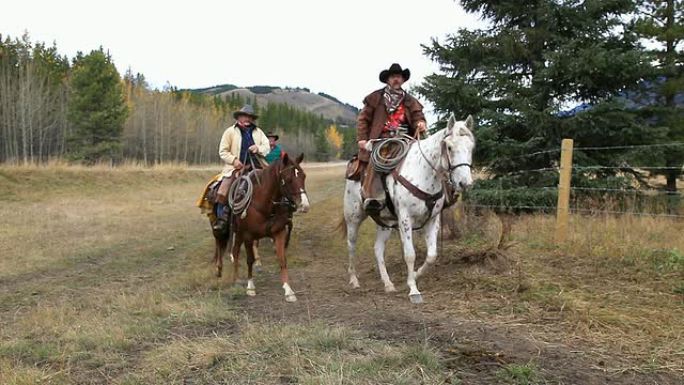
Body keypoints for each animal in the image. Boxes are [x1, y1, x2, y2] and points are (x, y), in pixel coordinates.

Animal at [214, 152, 310, 302]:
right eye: (288, 179)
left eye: (303, 176)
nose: (304, 206)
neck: (264, 204)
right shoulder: (248, 236)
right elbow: (249, 260)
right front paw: (250, 287)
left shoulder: (279, 232)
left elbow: (282, 260)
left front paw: (288, 290)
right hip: (230, 231)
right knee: (225, 246)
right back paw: (224, 272)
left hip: (238, 233)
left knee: (235, 251)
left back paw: (236, 278)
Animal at [342, 114, 476, 304]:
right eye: (449, 147)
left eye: (471, 147)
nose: (464, 183)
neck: (424, 172)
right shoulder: (405, 219)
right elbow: (410, 254)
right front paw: (413, 289)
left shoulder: (432, 220)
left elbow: (432, 255)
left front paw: (415, 275)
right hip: (353, 218)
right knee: (351, 245)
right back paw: (354, 280)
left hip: (385, 222)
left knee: (378, 249)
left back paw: (388, 284)